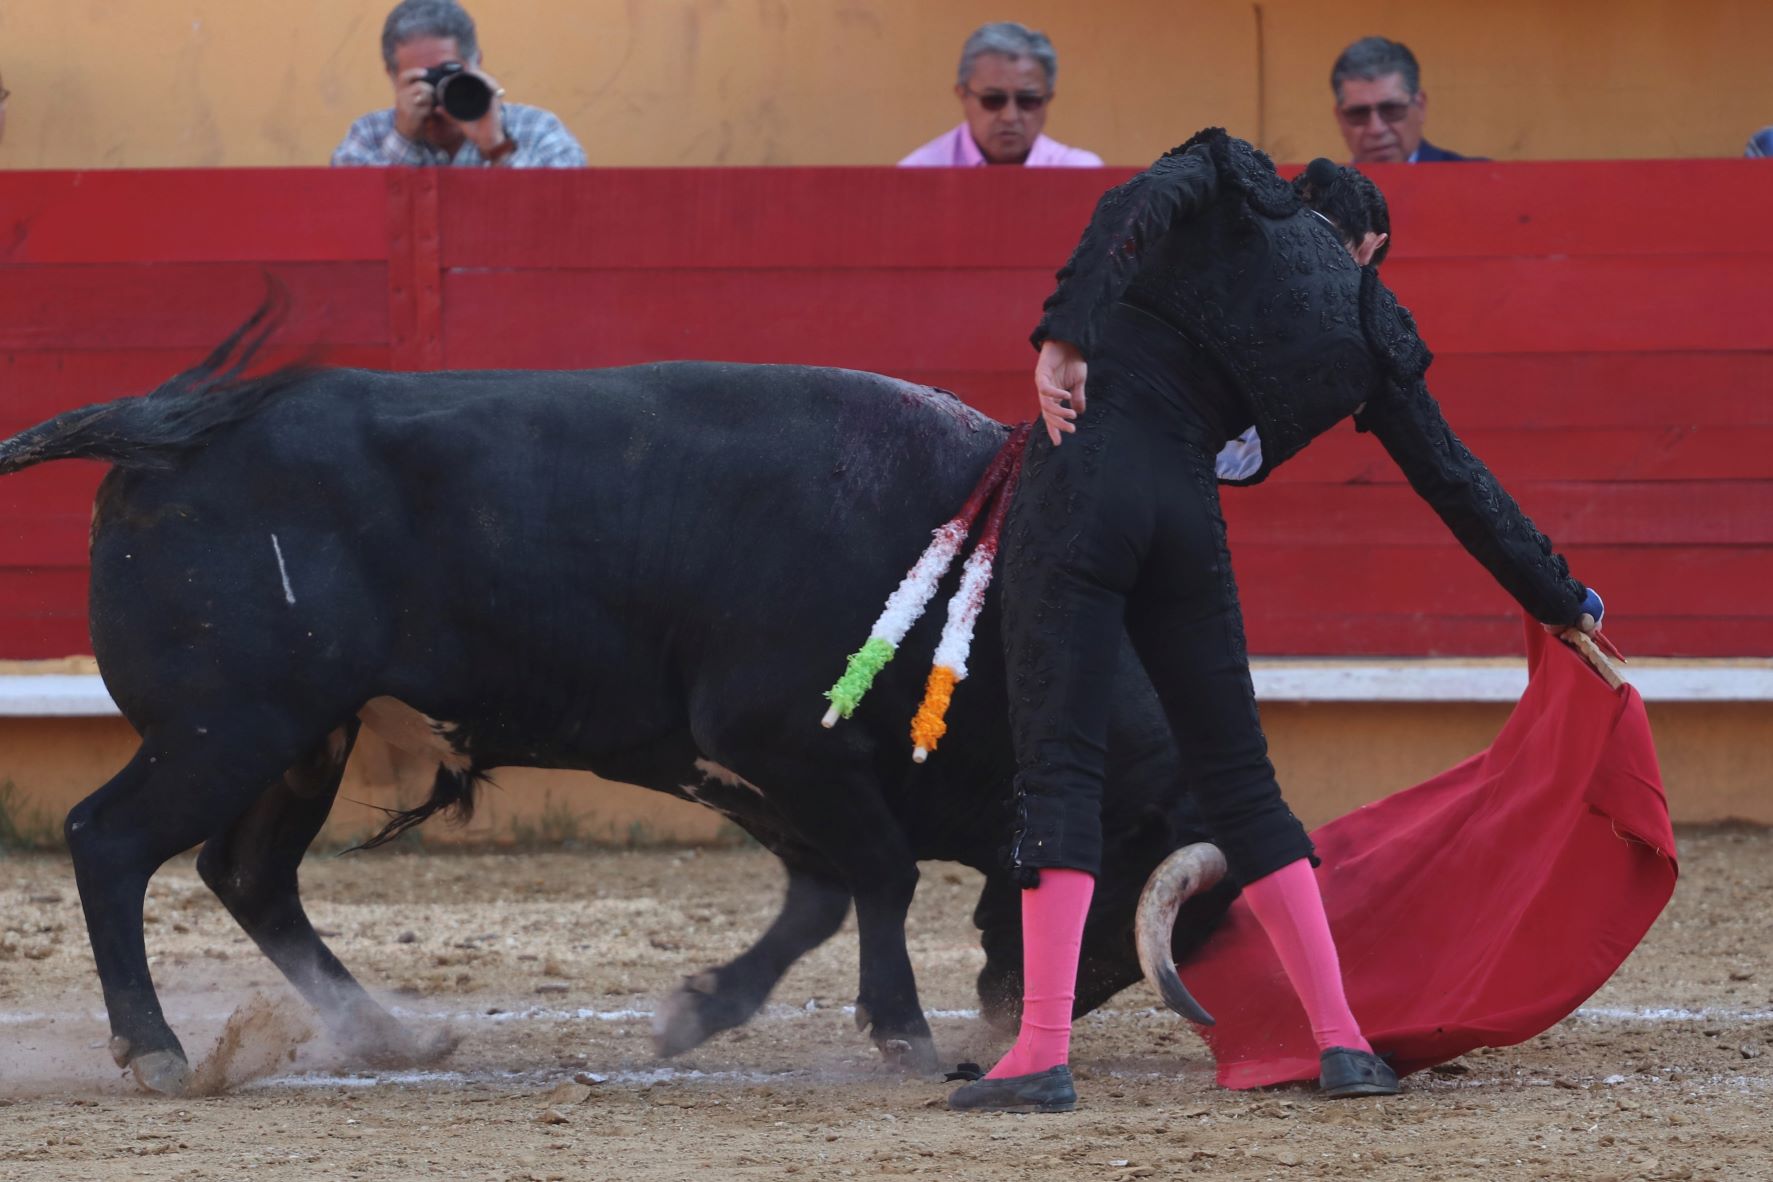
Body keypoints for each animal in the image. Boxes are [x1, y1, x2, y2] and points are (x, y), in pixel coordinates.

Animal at [0, 307, 1234, 1095]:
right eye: (1130, 897)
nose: (1011, 1024)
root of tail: (163, 437)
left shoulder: (752, 770)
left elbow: (822, 897)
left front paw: (696, 1013)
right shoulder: (783, 744)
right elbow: (878, 877)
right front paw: (903, 1037)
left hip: (301, 733)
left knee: (248, 873)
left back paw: (392, 1036)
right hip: (230, 726)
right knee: (109, 840)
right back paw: (159, 1052)